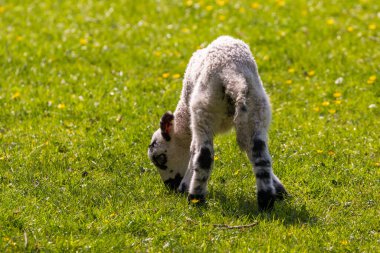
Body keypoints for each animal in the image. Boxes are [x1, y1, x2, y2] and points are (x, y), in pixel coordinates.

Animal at [148, 35, 288, 210]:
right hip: (256, 110)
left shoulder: (194, 122)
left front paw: (184, 186)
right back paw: (265, 202)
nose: (170, 186)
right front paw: (279, 189)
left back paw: (195, 198)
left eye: (160, 158)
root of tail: (232, 75)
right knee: (260, 154)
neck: (184, 118)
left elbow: (193, 150)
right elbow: (249, 151)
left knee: (204, 156)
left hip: (205, 110)